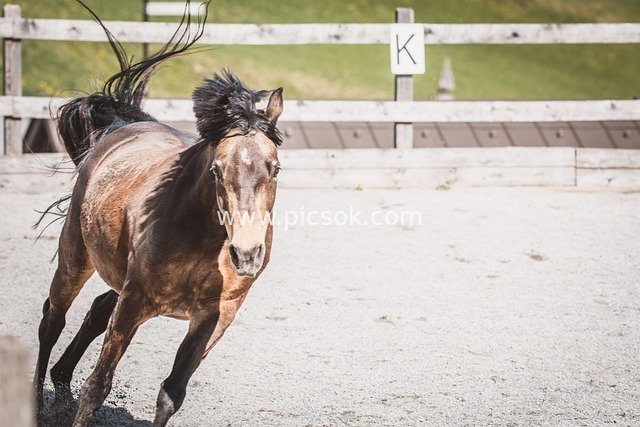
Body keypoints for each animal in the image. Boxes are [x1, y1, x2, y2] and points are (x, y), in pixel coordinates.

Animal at [33, 3, 284, 426]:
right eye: (217, 171)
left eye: (276, 169)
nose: (247, 254)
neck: (205, 243)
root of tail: (122, 127)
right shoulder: (134, 301)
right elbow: (98, 385)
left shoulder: (215, 318)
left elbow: (171, 394)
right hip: (76, 256)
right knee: (53, 319)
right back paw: (37, 399)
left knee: (95, 310)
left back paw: (61, 389)